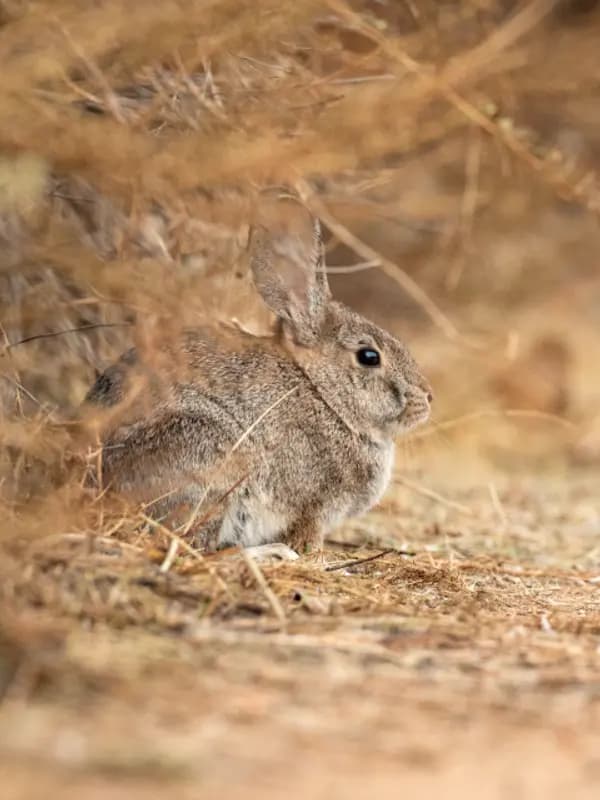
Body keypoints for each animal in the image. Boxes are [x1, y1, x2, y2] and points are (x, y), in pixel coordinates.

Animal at [85, 198, 432, 560]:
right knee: (197, 547)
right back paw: (271, 553)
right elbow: (306, 537)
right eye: (369, 357)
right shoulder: (314, 506)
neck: (322, 393)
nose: (427, 397)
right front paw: (312, 557)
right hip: (210, 463)